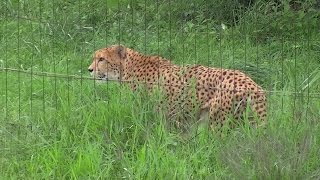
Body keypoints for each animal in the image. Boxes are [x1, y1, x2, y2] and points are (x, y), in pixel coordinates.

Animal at [88, 44, 268, 131]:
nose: (89, 70)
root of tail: (252, 84)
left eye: (101, 59)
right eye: (95, 58)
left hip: (220, 123)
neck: (127, 67)